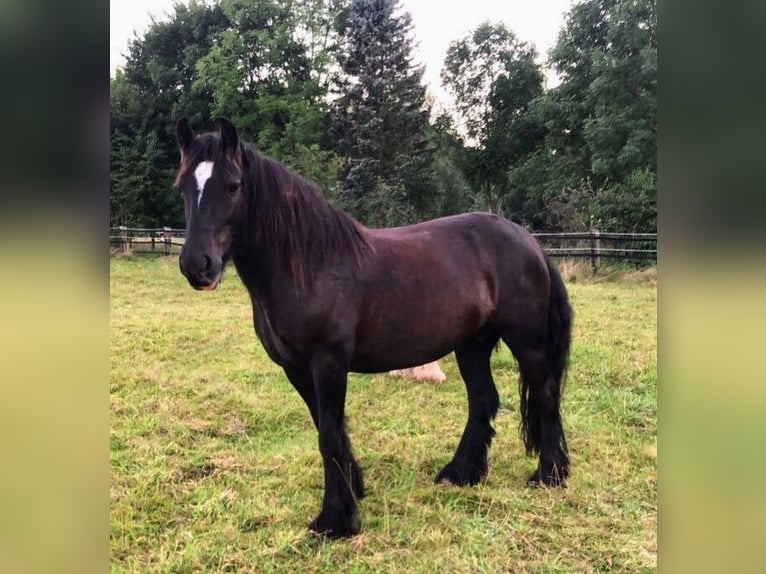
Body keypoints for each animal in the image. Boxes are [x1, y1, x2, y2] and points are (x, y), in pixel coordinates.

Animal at [173, 117, 573, 538]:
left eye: (232, 185)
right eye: (182, 185)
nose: (197, 265)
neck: (309, 265)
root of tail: (529, 241)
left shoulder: (328, 363)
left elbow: (329, 435)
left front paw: (334, 520)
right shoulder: (296, 368)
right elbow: (325, 427)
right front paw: (354, 488)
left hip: (526, 342)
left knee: (544, 394)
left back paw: (549, 475)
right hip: (471, 344)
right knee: (483, 399)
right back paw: (461, 473)